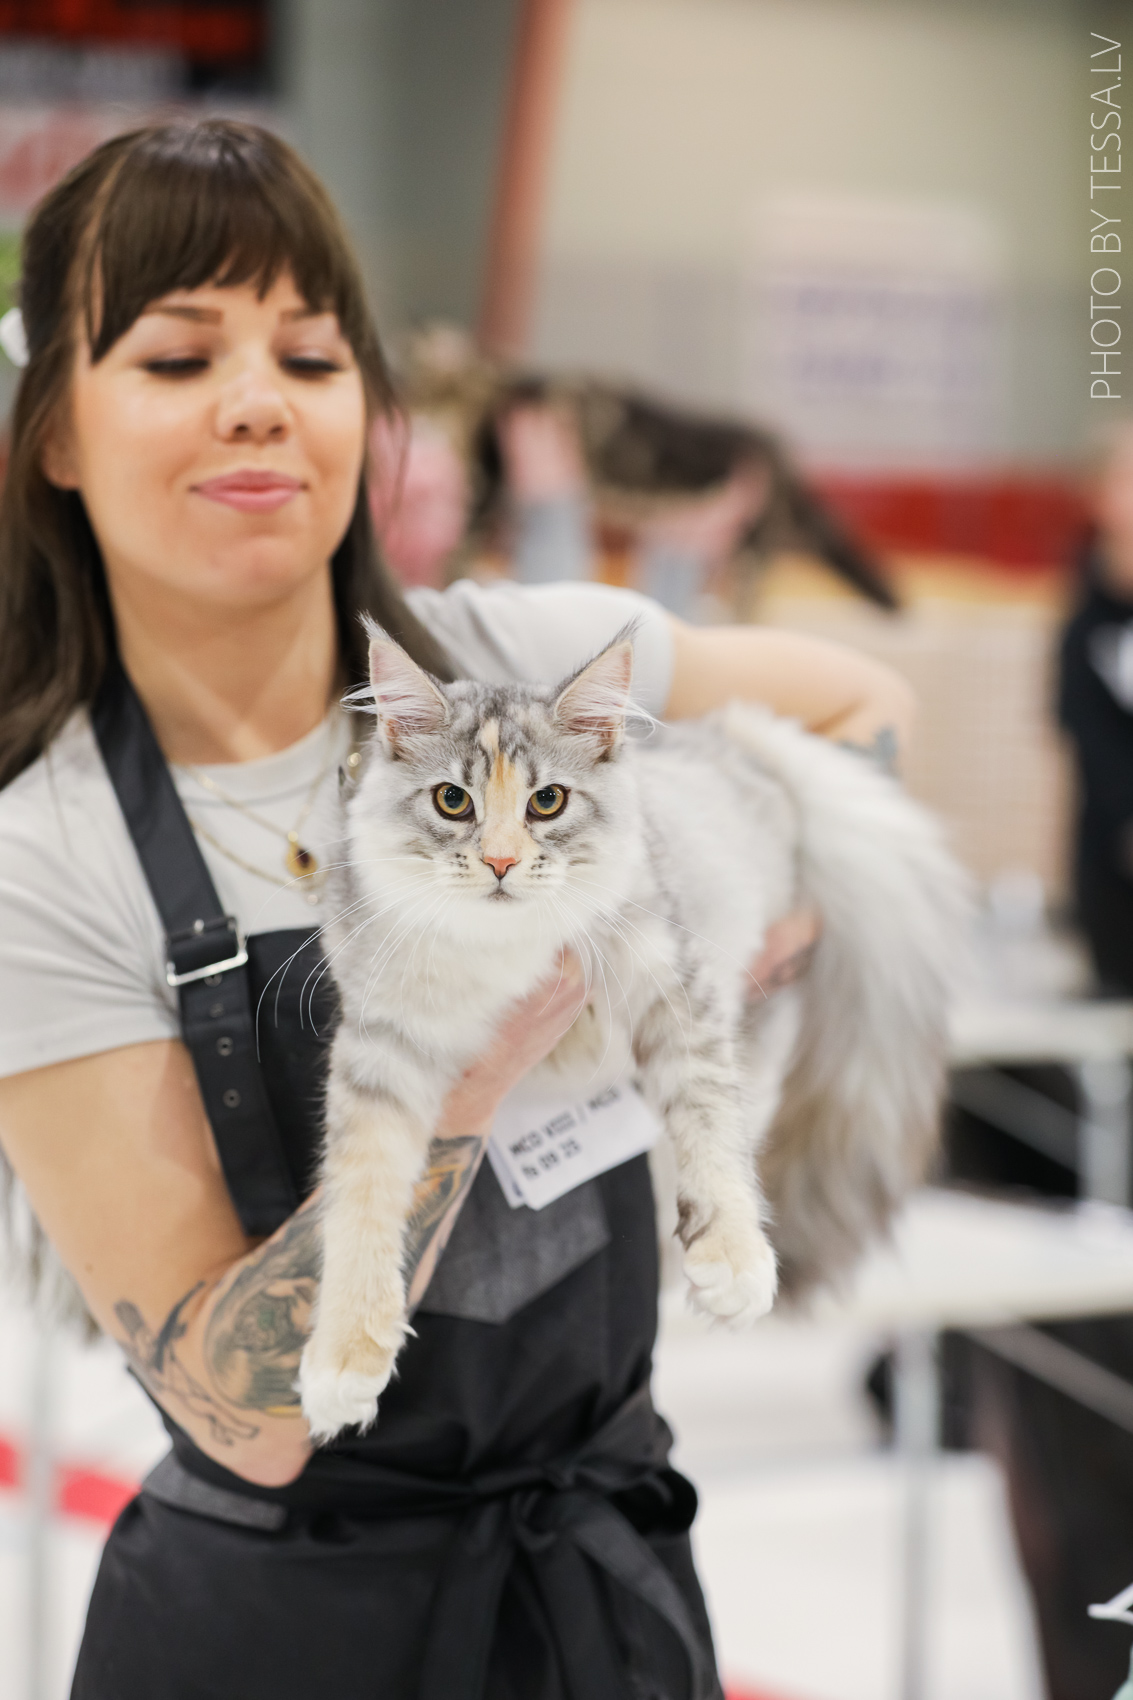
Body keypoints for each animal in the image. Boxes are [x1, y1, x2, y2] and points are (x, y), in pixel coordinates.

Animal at [297, 621, 967, 1442]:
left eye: (547, 802)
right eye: (452, 801)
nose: (500, 862)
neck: (503, 951)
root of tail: (741, 744)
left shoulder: (674, 986)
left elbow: (709, 1124)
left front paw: (733, 1255)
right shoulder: (382, 1051)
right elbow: (357, 1203)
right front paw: (343, 1356)